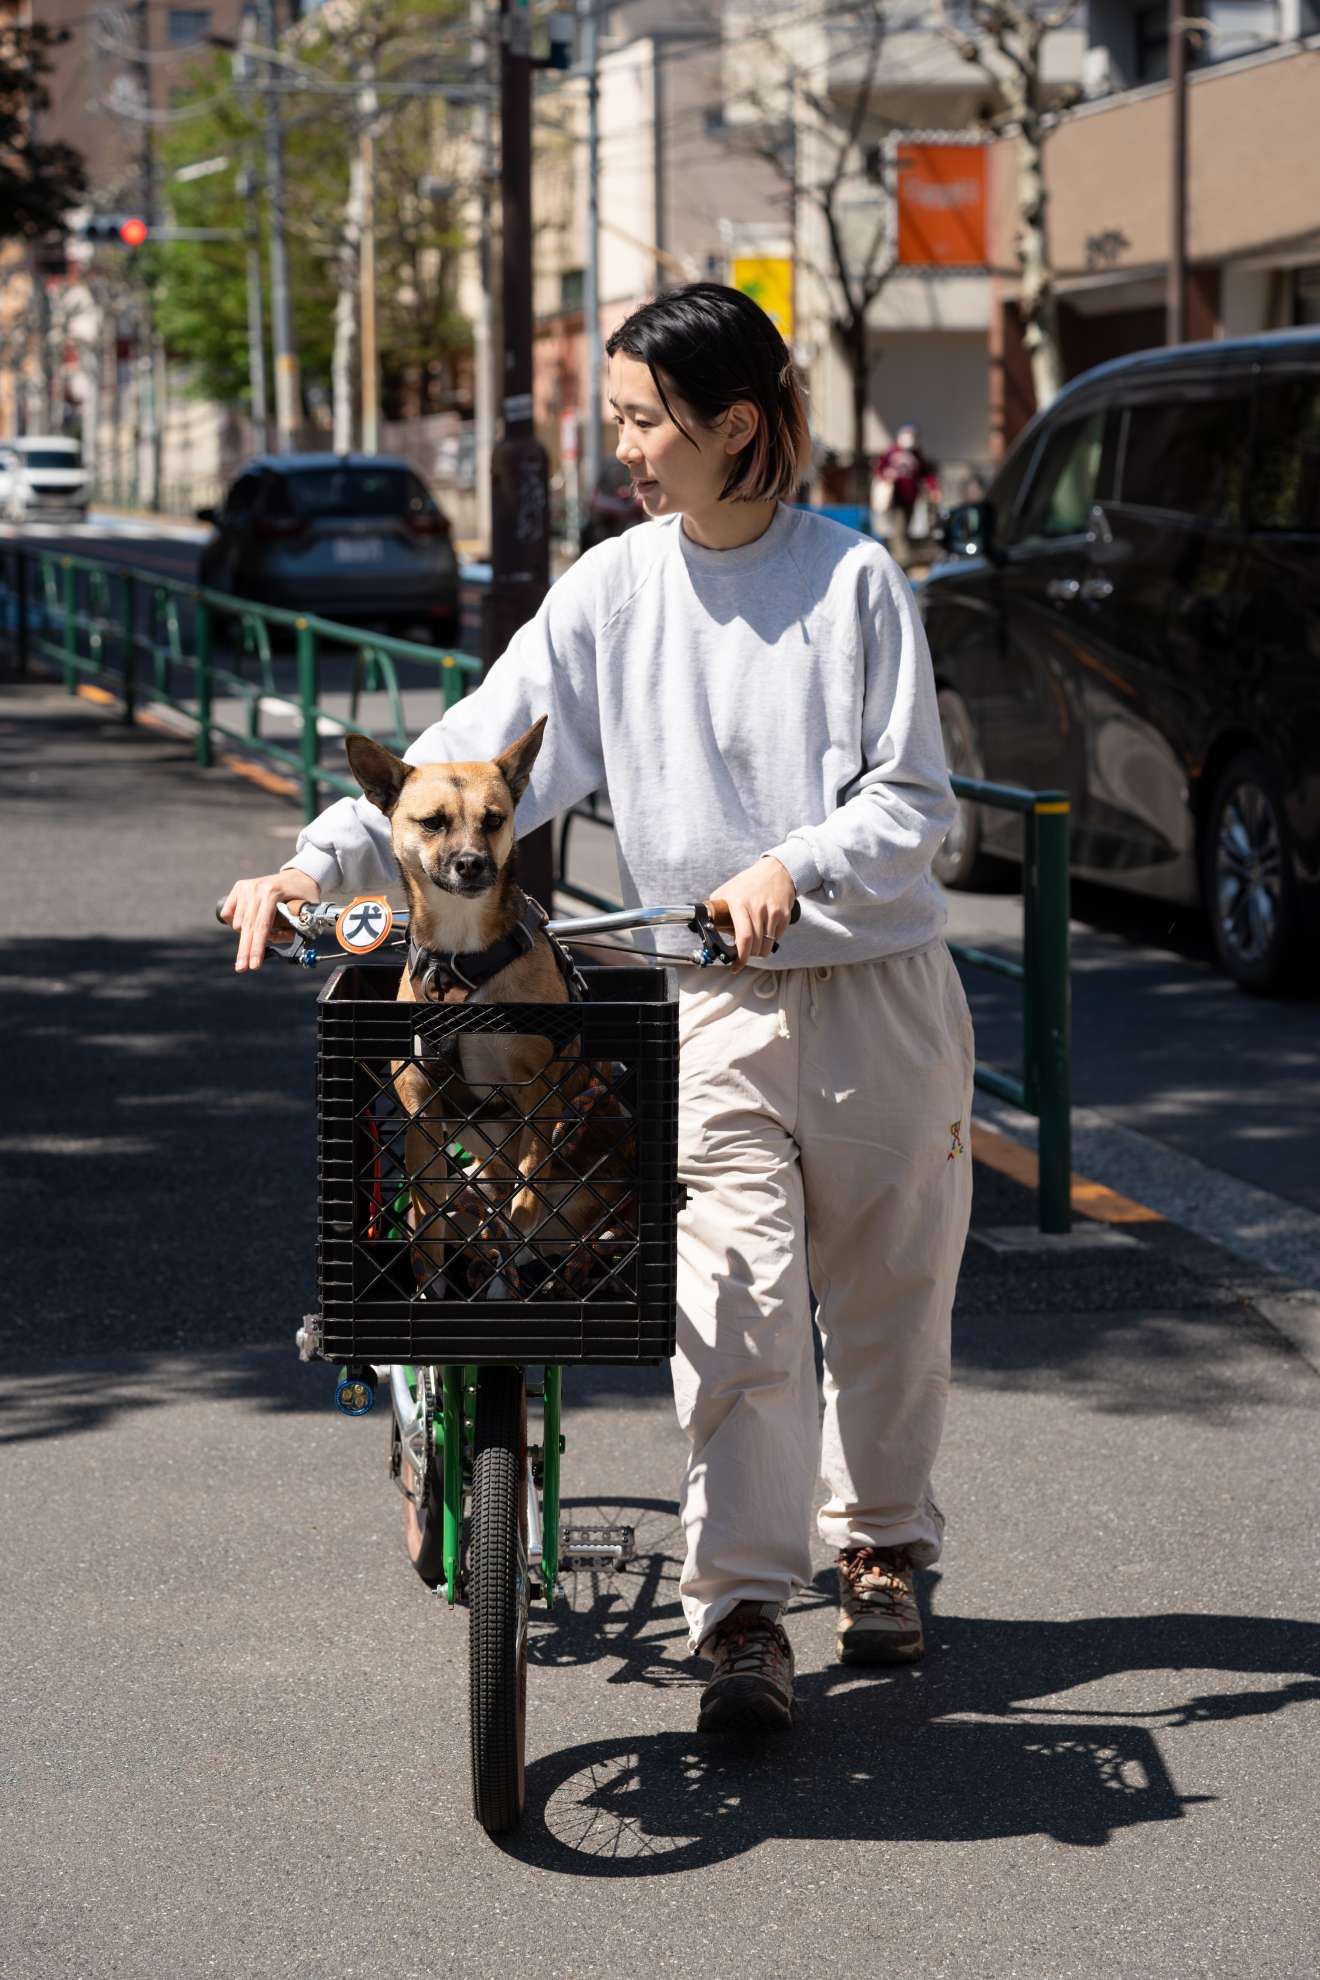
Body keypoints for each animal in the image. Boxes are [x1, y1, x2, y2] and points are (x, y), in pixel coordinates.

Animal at [344, 719, 633, 1297]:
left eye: (494, 820)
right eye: (432, 822)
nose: (472, 863)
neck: (463, 959)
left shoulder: (538, 1094)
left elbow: (526, 1187)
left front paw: (515, 1234)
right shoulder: (421, 1107)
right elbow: (426, 1217)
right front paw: (430, 1284)